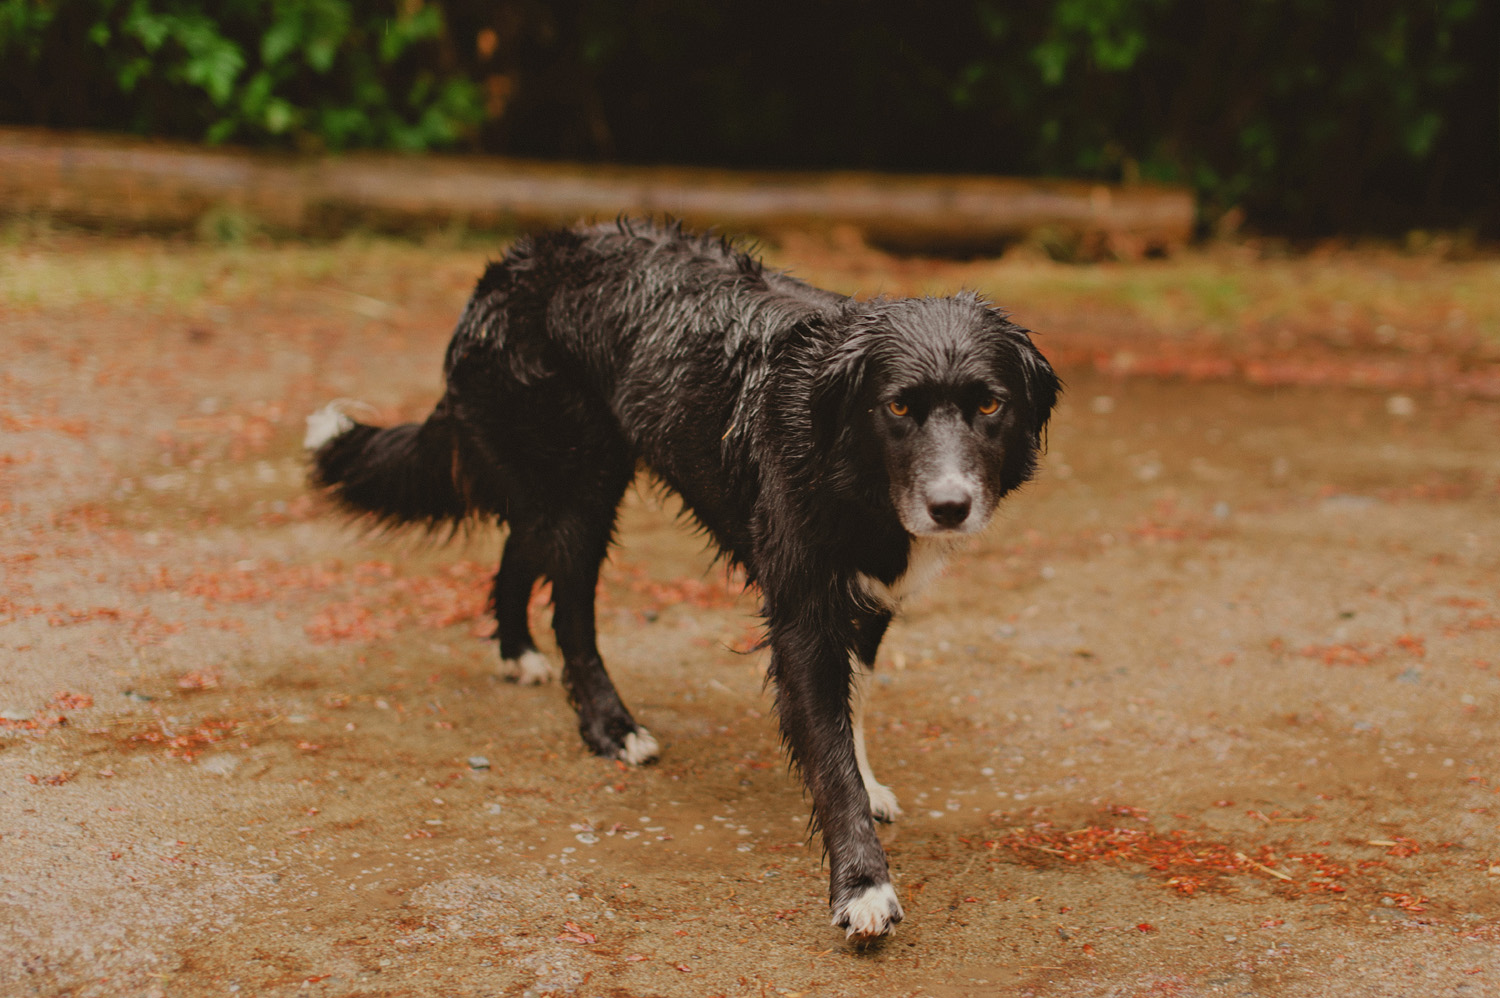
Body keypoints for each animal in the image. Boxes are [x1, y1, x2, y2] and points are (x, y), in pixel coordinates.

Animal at [307, 220, 1056, 942]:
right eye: (898, 409)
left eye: (990, 406)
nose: (950, 507)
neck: (843, 456)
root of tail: (505, 268)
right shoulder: (801, 613)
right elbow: (829, 751)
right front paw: (863, 885)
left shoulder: (870, 598)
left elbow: (855, 705)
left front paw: (868, 786)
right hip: (580, 491)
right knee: (571, 611)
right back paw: (610, 726)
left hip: (572, 485)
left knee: (519, 552)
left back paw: (518, 653)